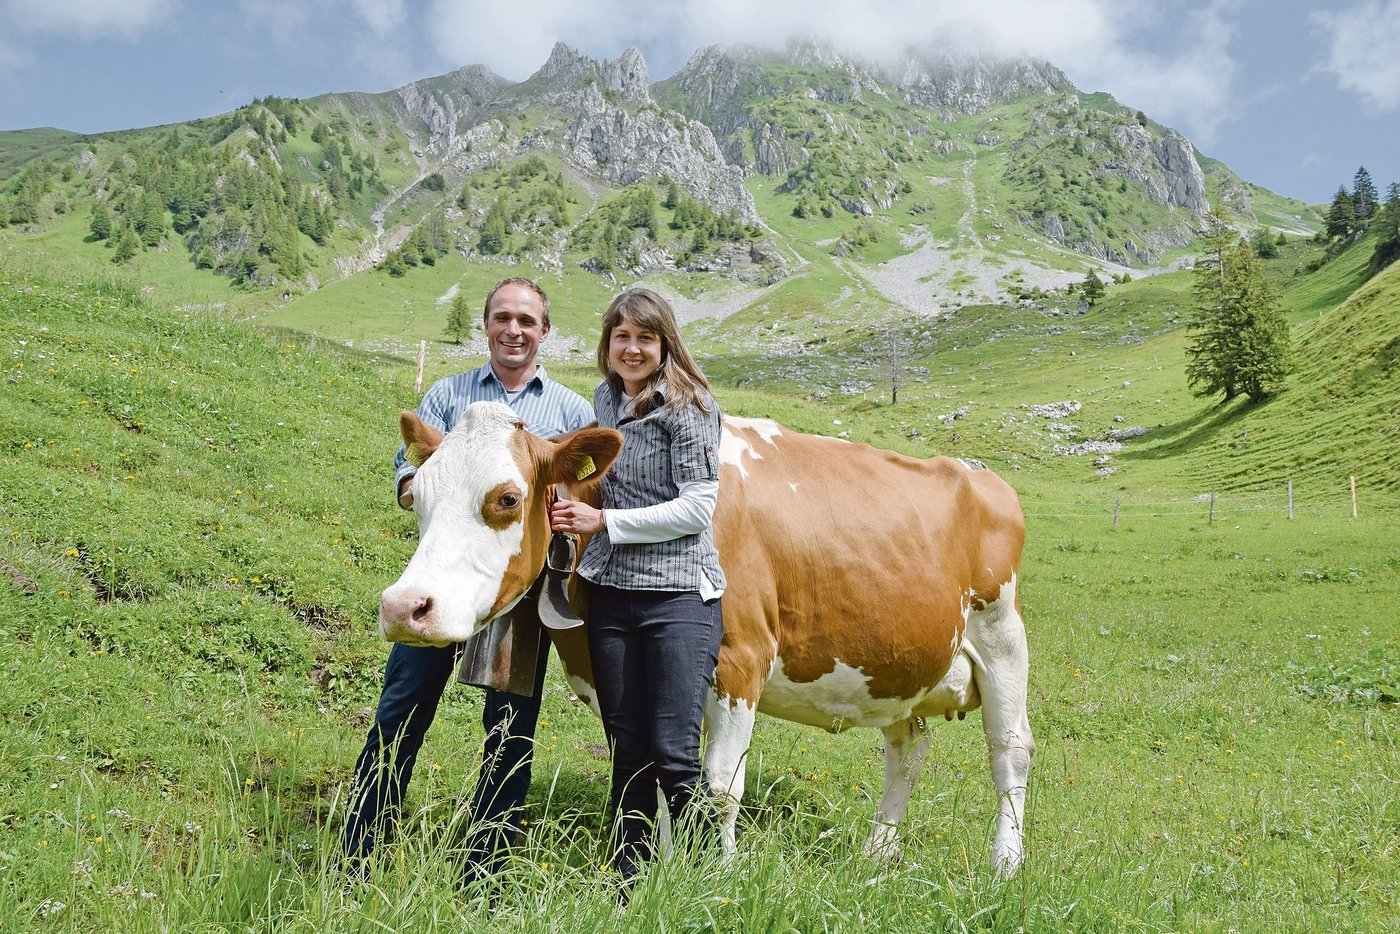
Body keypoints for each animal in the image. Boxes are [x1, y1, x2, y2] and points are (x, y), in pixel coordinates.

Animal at [379, 400, 1034, 874]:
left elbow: (718, 785)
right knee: (908, 749)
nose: (403, 607)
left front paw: (718, 873)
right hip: (901, 667)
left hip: (1003, 637)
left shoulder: (740, 659)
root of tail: (979, 476)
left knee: (1011, 753)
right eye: (415, 495)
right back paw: (878, 853)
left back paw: (1005, 865)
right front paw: (660, 868)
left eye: (507, 498)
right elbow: (652, 771)